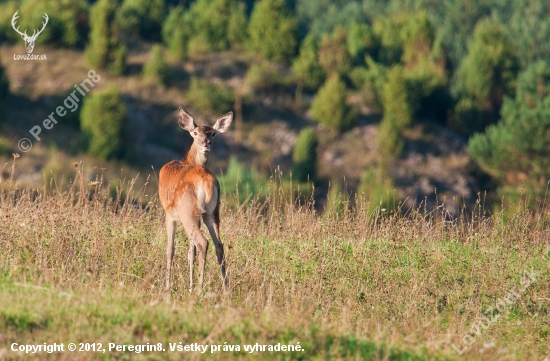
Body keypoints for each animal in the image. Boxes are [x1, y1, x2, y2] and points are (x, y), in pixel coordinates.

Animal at [160, 106, 233, 292]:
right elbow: (189, 252)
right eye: (195, 133)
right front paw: (189, 285)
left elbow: (170, 249)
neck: (187, 160)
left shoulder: (170, 214)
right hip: (211, 212)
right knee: (219, 245)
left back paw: (199, 289)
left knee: (203, 242)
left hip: (186, 210)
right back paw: (226, 289)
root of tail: (206, 181)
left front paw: (168, 287)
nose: (206, 143)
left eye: (213, 134)